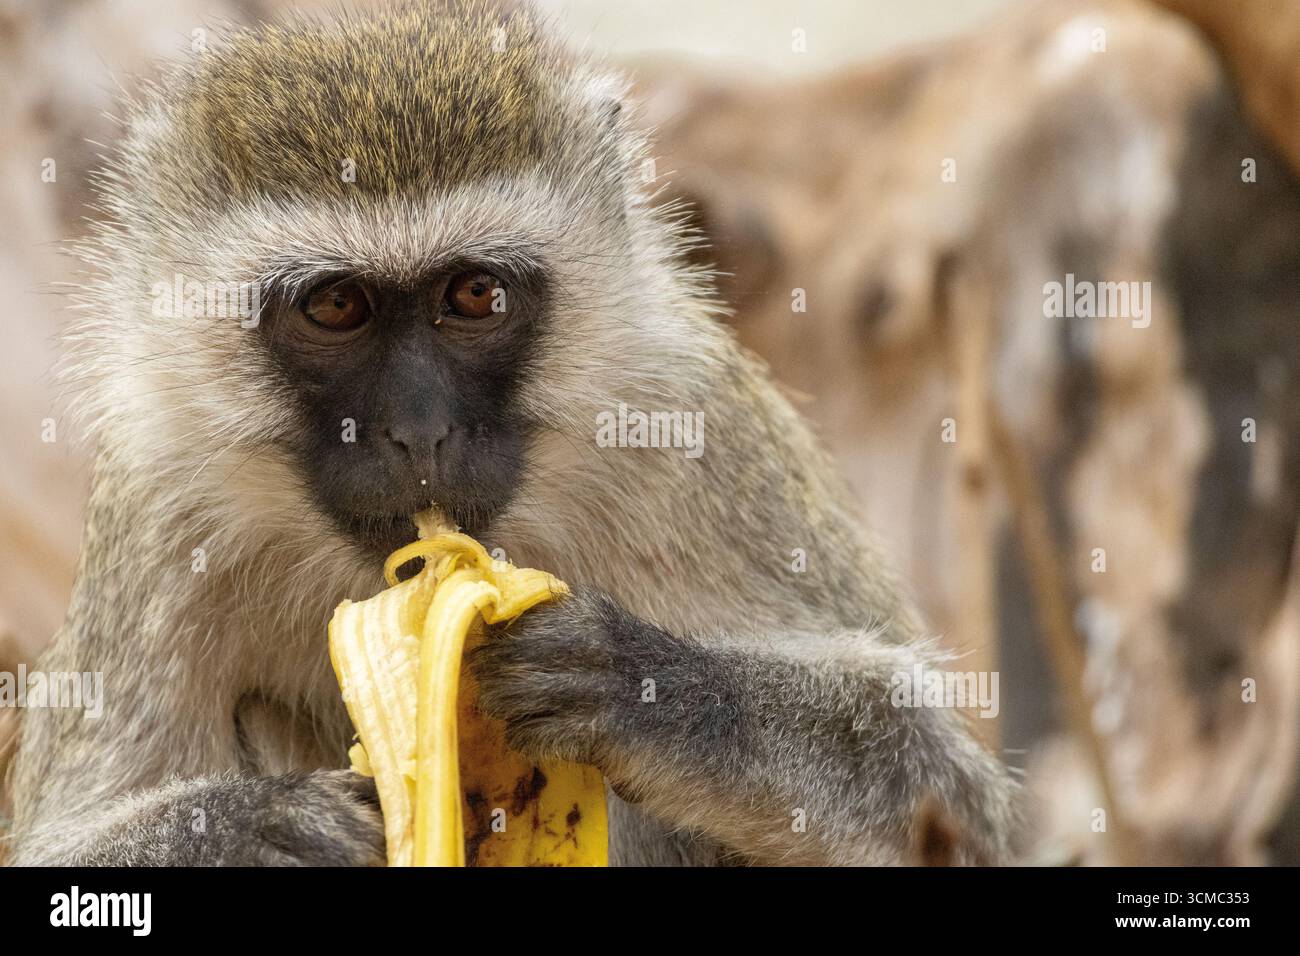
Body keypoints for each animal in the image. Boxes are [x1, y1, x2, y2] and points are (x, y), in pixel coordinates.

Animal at [7, 1, 1015, 866]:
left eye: (474, 295)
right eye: (335, 306)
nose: (421, 432)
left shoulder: (693, 424)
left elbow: (956, 799)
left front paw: (646, 687)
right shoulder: (156, 510)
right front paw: (254, 831)